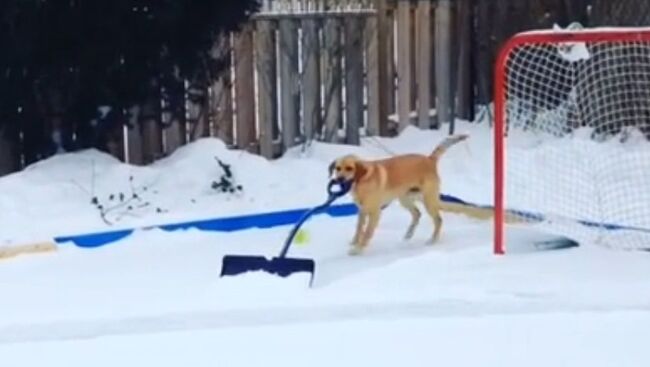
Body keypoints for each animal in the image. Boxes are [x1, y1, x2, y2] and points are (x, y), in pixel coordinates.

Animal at [330, 135, 466, 256]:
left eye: (349, 168)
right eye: (338, 168)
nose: (339, 179)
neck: (362, 180)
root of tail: (429, 159)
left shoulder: (375, 213)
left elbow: (367, 232)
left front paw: (357, 249)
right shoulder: (362, 211)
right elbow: (359, 229)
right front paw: (355, 242)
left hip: (428, 201)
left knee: (438, 220)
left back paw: (432, 240)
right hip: (405, 199)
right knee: (417, 213)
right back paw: (409, 234)